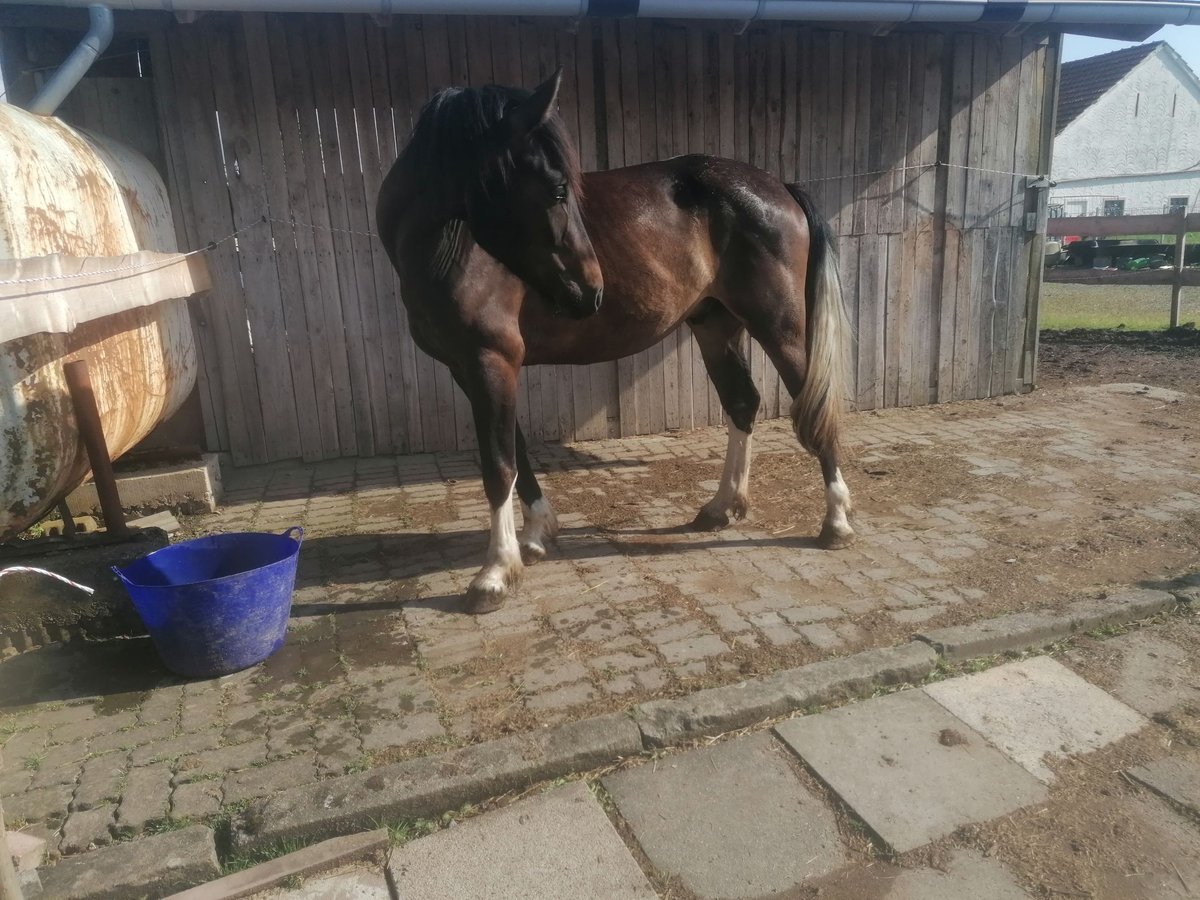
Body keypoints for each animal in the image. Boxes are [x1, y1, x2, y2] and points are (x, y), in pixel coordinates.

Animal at [374, 74, 854, 619]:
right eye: (558, 188)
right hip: (715, 327)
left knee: (814, 409)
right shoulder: (472, 369)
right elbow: (516, 449)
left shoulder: (490, 362)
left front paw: (494, 573)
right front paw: (536, 534)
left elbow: (498, 465)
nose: (590, 291)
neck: (451, 249)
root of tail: (779, 188)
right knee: (742, 404)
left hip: (780, 327)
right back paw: (723, 507)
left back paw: (836, 522)